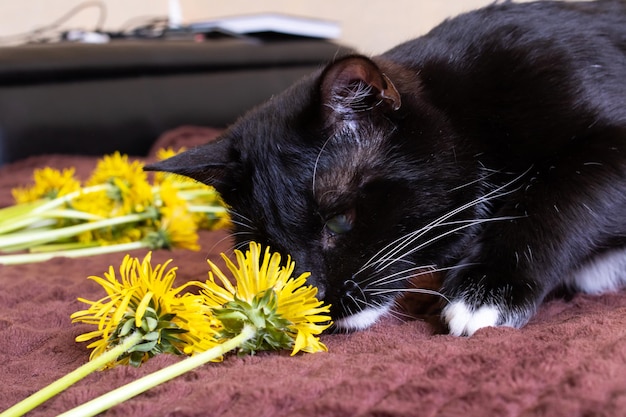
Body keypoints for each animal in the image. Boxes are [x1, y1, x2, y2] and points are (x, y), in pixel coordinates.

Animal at [147, 0, 626, 334]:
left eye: (340, 220)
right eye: (264, 249)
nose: (318, 301)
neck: (466, 112)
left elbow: (557, 198)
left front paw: (489, 289)